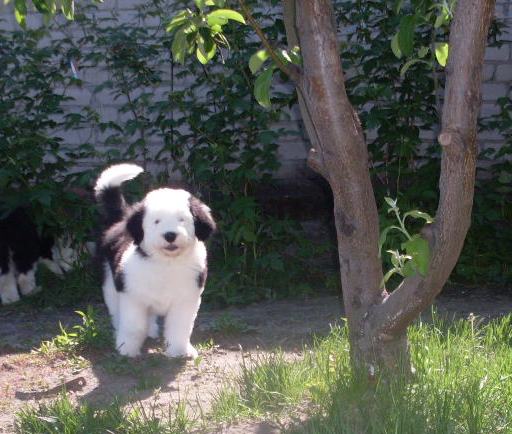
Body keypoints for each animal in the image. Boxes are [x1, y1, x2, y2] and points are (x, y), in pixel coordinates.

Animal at [95, 163, 216, 358]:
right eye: (156, 221)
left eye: (182, 220)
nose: (170, 235)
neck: (166, 263)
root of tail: (122, 219)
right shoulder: (132, 297)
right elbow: (133, 326)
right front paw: (127, 349)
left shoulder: (185, 299)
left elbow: (180, 327)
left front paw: (179, 351)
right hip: (110, 283)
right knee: (116, 311)